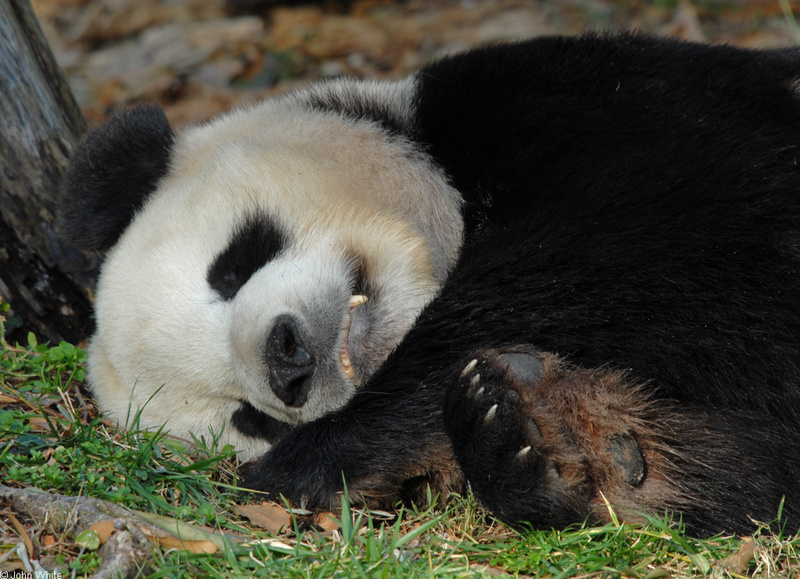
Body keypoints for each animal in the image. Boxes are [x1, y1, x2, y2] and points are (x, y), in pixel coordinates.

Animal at [59, 34, 800, 536]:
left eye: (234, 265)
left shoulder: (599, 104)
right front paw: (562, 447)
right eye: (249, 417)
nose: (288, 360)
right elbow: (749, 475)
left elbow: (629, 232)